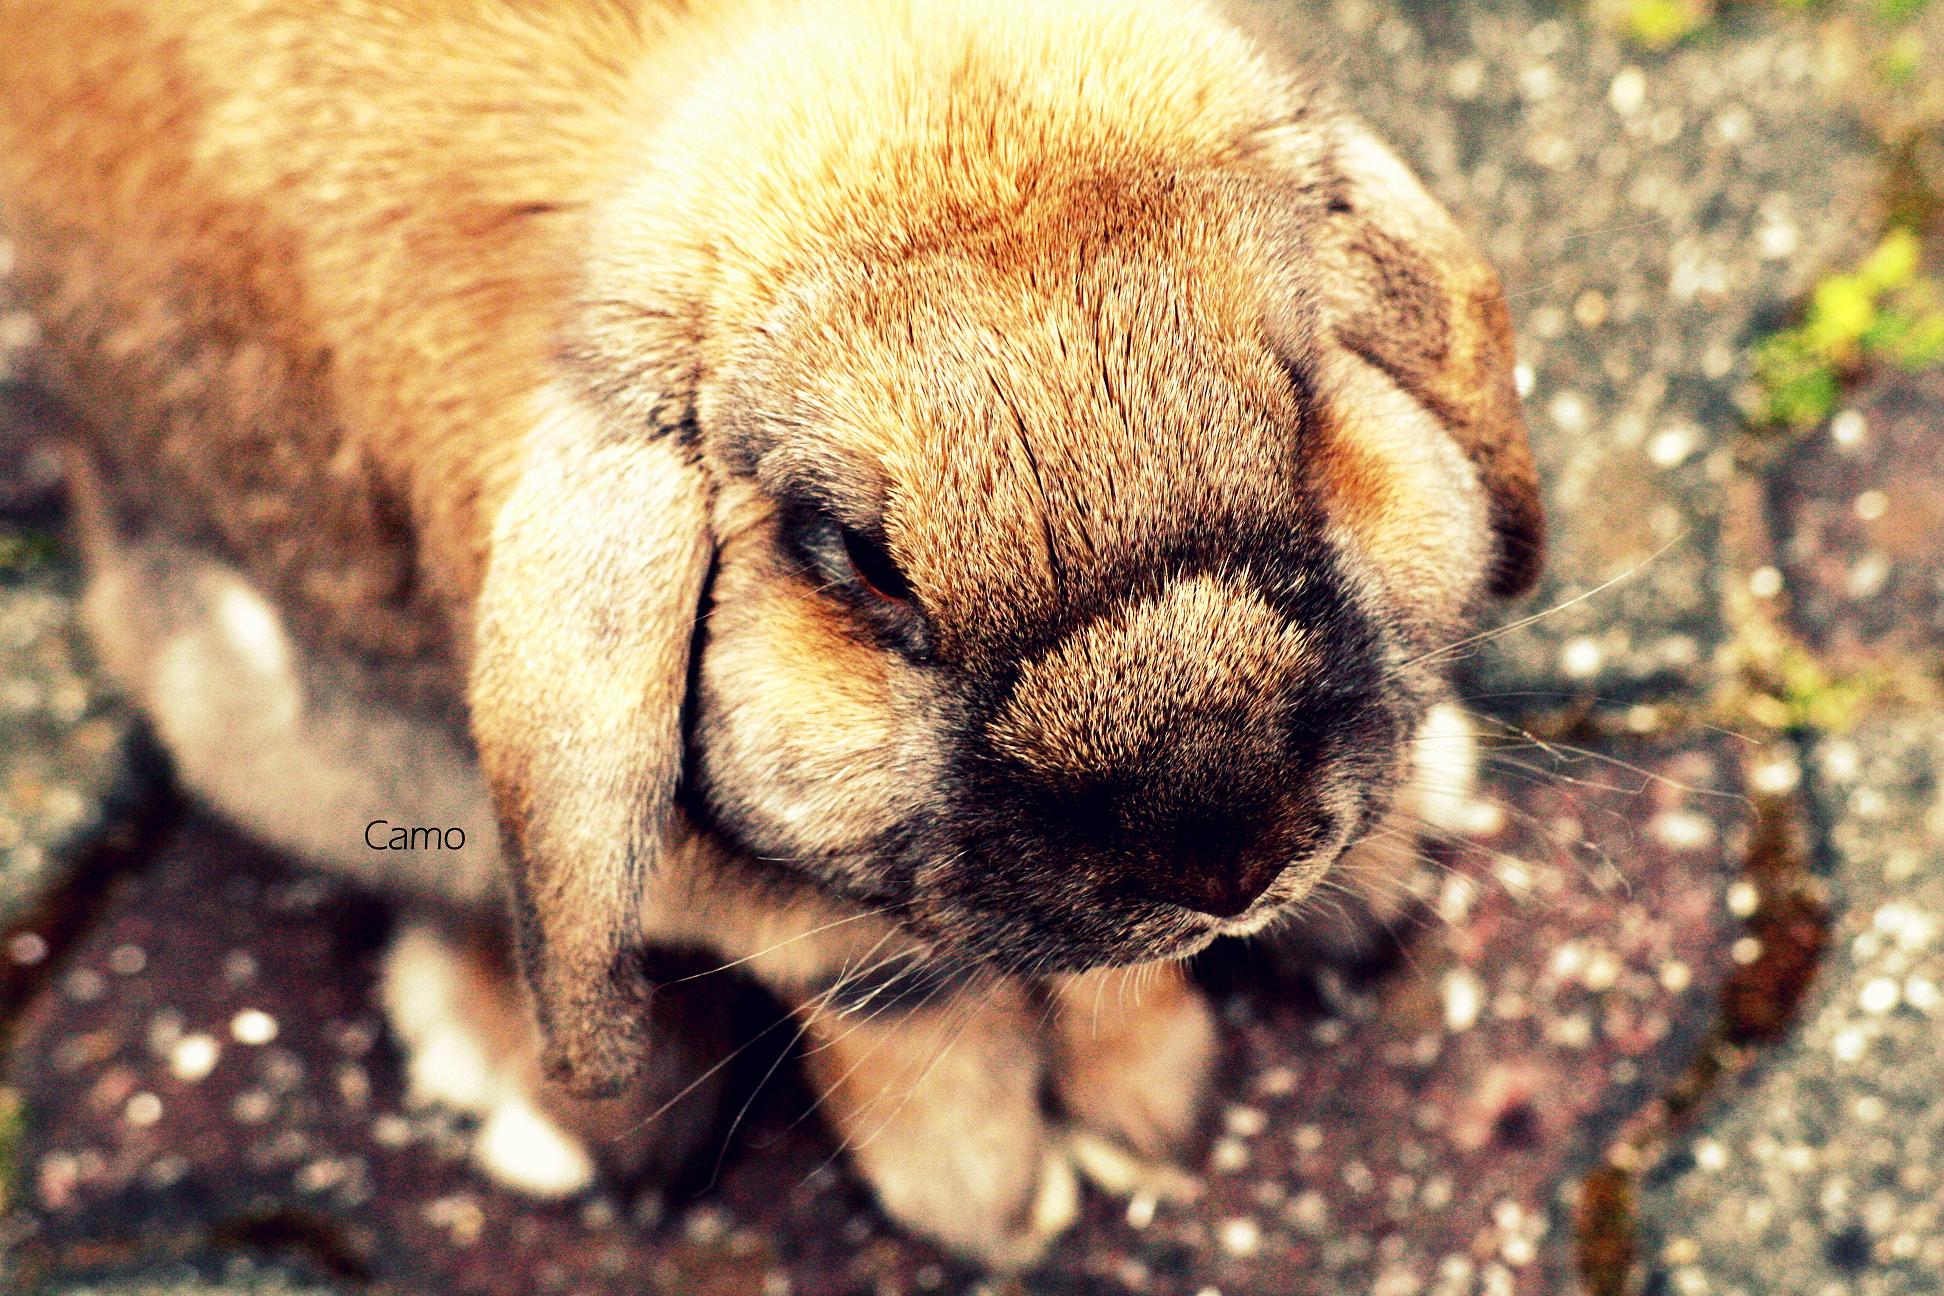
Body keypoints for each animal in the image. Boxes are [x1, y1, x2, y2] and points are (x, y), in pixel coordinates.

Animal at [3, 0, 1547, 1266]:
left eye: (1304, 398)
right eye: (850, 558)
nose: (1227, 854)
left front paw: (1140, 1122)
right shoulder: (784, 910)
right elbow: (909, 1000)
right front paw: (1012, 1197)